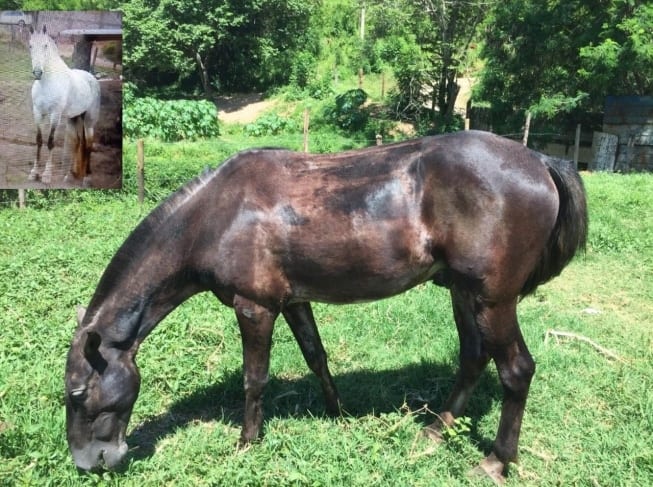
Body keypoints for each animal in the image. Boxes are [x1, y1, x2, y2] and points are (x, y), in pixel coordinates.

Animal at [28, 25, 100, 186]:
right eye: (30, 46)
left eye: (45, 46)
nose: (37, 73)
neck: (47, 83)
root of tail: (92, 78)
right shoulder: (37, 113)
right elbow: (39, 140)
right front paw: (34, 173)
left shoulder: (55, 115)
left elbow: (50, 142)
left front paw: (46, 175)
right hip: (75, 117)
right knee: (78, 142)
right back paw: (70, 175)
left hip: (89, 119)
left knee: (88, 144)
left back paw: (87, 177)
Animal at [64, 130, 587, 482]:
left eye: (77, 394)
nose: (89, 464)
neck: (216, 217)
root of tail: (539, 161)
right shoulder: (294, 301)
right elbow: (317, 356)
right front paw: (338, 414)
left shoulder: (255, 308)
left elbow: (255, 378)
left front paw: (246, 442)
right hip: (464, 292)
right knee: (474, 358)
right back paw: (435, 431)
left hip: (492, 299)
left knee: (516, 370)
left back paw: (497, 460)